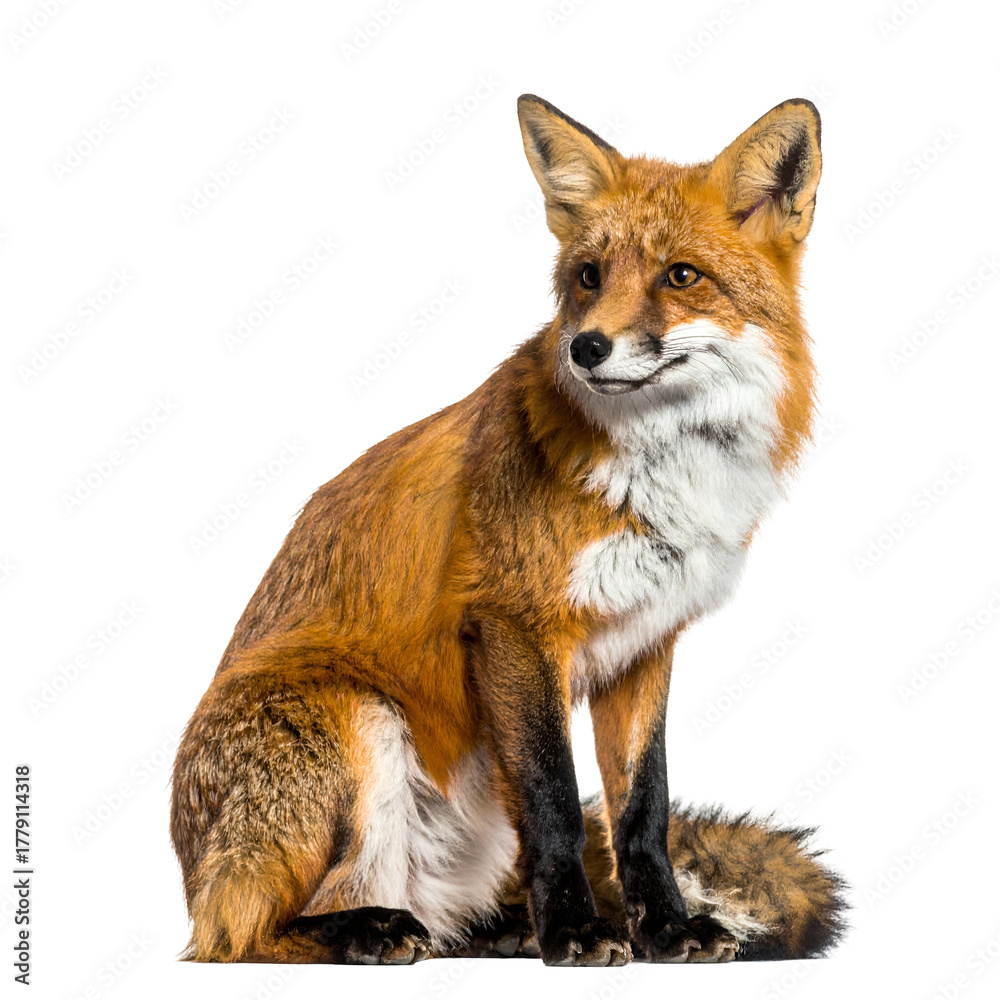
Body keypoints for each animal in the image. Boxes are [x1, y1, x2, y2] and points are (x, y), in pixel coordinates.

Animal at [171, 94, 846, 966]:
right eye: (588, 277)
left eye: (681, 276)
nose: (586, 347)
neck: (660, 476)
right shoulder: (515, 626)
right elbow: (557, 802)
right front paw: (579, 932)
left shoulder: (646, 645)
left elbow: (642, 812)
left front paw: (662, 929)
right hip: (355, 720)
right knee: (239, 934)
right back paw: (370, 930)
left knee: (446, 920)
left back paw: (502, 930)